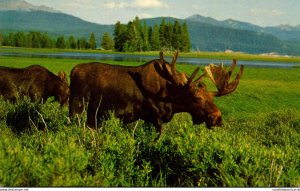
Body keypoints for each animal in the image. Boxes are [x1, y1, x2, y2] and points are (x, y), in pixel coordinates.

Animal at [69, 51, 243, 136]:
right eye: (196, 97)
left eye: (212, 97)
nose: (217, 118)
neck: (173, 101)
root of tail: (72, 71)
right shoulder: (155, 117)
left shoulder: (148, 119)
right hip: (77, 107)